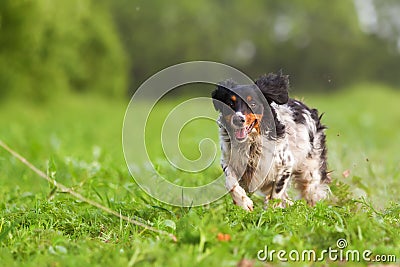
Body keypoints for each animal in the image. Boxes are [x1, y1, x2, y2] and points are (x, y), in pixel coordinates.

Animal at [211, 73, 330, 211]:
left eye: (253, 103)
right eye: (230, 103)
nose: (237, 119)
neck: (251, 143)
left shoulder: (285, 165)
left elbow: (277, 193)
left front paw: (272, 210)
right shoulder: (229, 161)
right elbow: (230, 182)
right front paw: (243, 203)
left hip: (310, 173)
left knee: (311, 193)